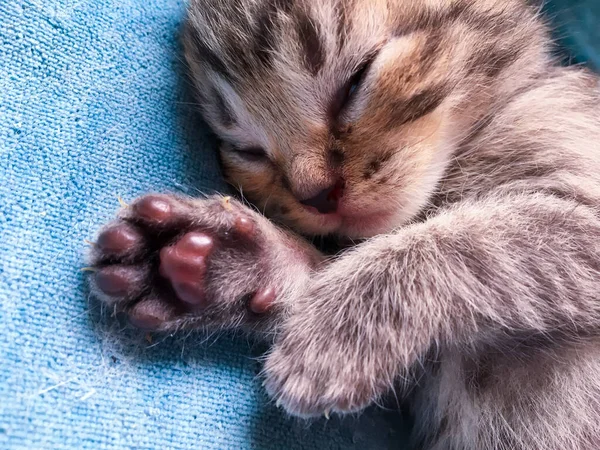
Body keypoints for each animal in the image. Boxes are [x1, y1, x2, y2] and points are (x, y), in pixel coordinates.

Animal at [88, 0, 600, 448]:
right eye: (246, 148)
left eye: (356, 80)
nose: (316, 195)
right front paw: (224, 262)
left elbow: (470, 244)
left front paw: (335, 333)